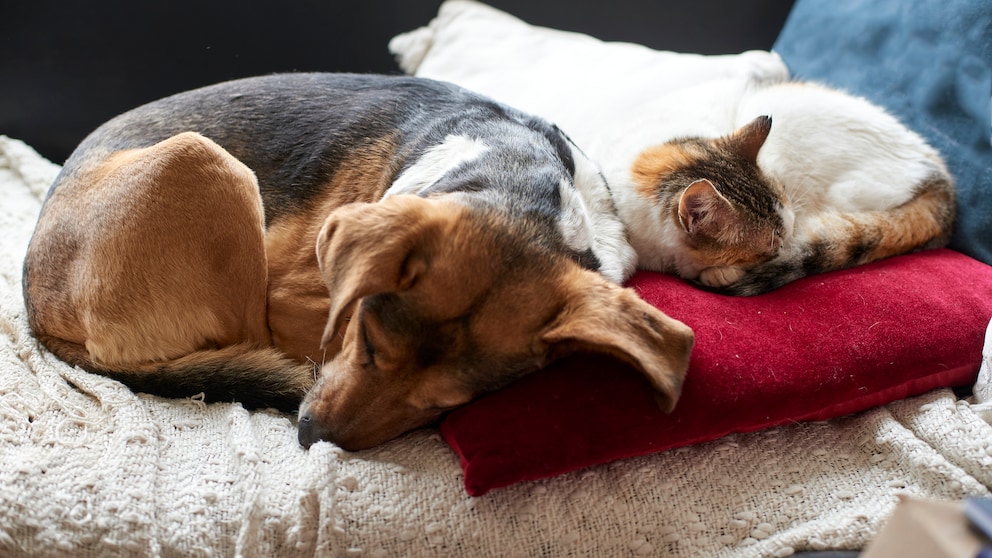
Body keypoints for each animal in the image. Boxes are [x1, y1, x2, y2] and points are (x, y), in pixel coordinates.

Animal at [21, 73, 688, 450]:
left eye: (445, 405)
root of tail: (37, 310)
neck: (516, 182)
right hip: (201, 160)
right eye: (364, 339)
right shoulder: (294, 305)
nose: (312, 439)